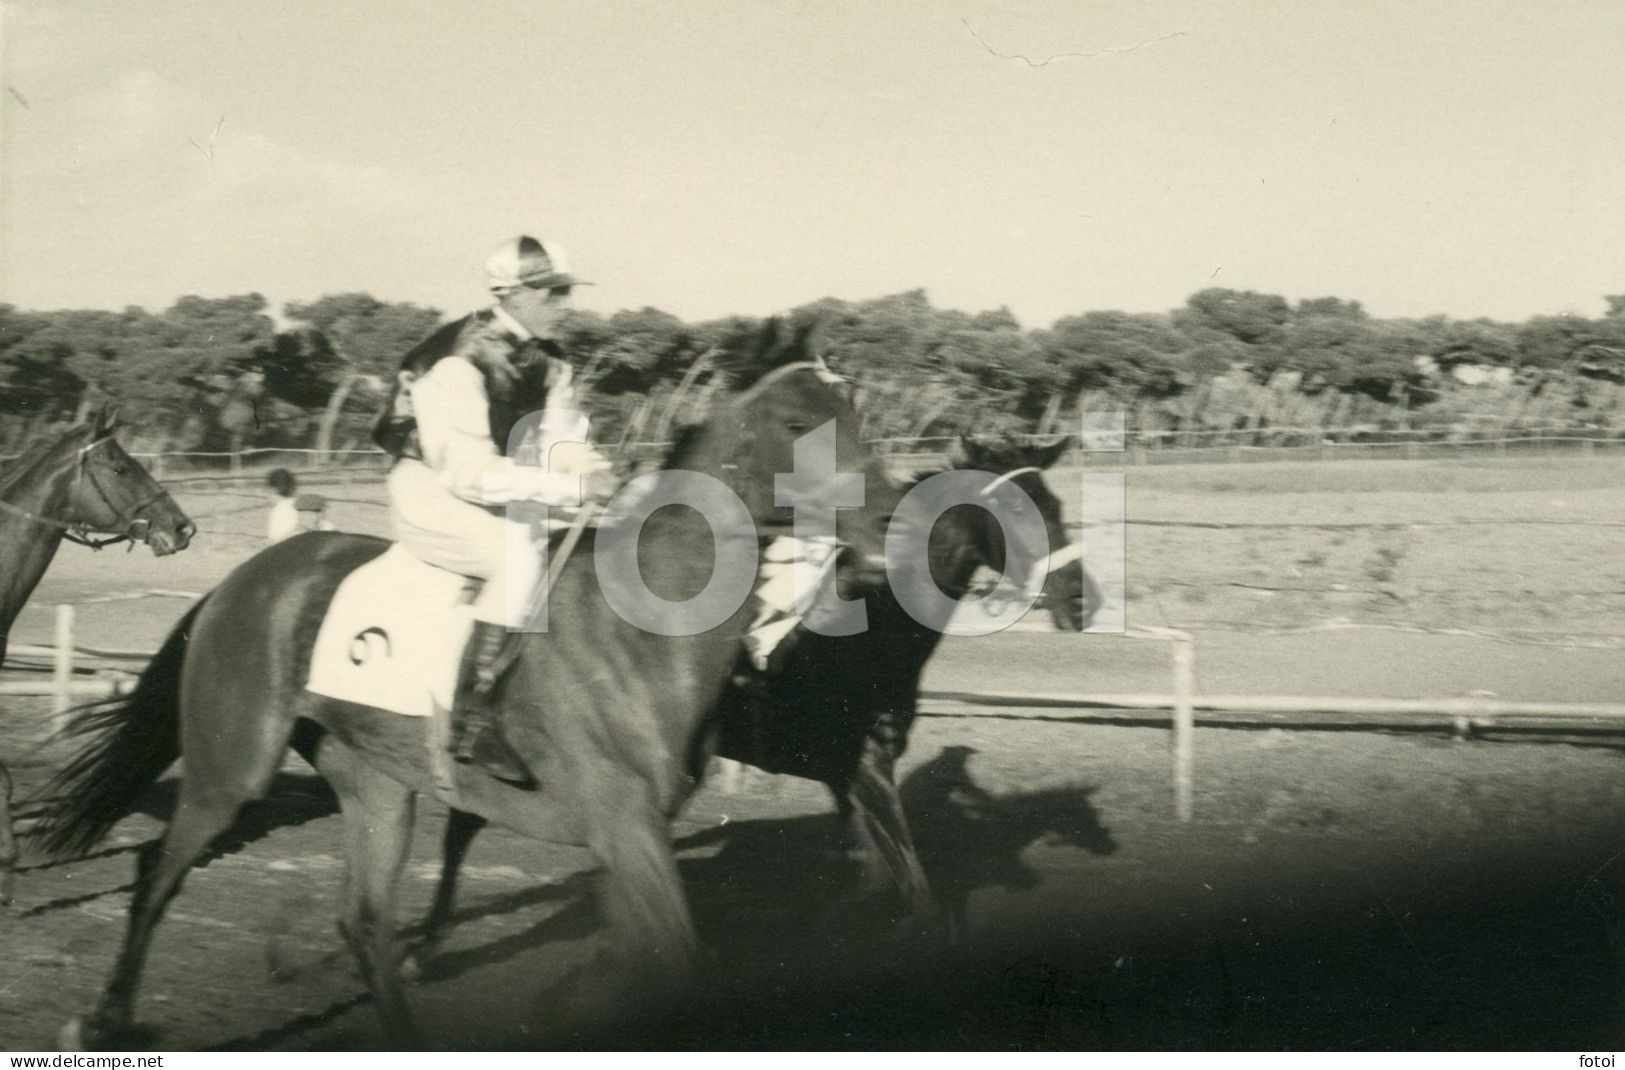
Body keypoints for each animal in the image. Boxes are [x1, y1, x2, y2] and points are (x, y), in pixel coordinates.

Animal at [31, 313, 910, 1040]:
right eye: (796, 424)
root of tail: (240, 579)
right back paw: (106, 1016)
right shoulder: (626, 828)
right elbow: (680, 959)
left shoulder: (630, 838)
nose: (884, 528)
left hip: (377, 783)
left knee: (363, 921)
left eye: (860, 418)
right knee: (158, 872)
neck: (641, 634)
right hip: (232, 766)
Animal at [409, 432, 1105, 956]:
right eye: (1021, 511)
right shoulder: (863, 765)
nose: (1080, 599)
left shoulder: (851, 774)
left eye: (1057, 503)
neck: (867, 624)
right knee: (464, 825)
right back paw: (426, 939)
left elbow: (880, 877)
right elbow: (911, 887)